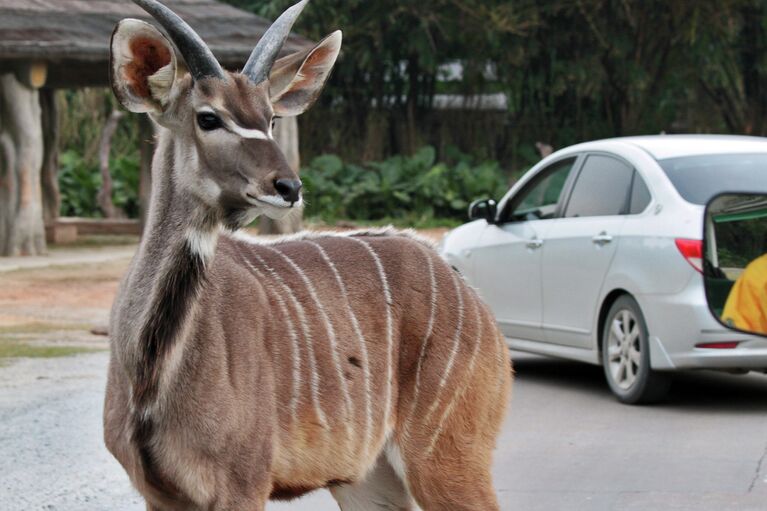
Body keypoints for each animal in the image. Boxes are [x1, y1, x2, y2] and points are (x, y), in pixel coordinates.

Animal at [102, 2, 510, 510]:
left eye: (271, 118)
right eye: (208, 118)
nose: (288, 187)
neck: (150, 373)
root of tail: (467, 292)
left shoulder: (244, 483)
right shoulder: (161, 494)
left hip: (448, 456)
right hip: (369, 476)